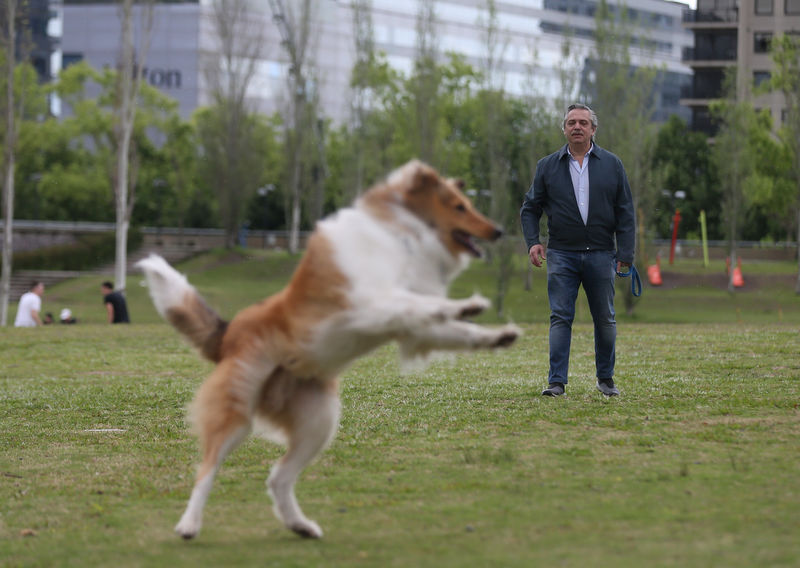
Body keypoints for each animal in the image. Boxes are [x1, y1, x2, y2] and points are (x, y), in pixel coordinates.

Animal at [136, 160, 520, 540]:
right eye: (459, 207)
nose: (499, 231)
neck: (403, 238)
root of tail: (229, 332)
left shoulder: (412, 328)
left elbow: (451, 327)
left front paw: (498, 335)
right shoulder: (370, 302)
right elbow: (418, 303)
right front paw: (468, 304)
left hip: (318, 423)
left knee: (278, 477)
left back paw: (300, 525)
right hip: (236, 413)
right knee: (207, 470)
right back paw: (189, 525)